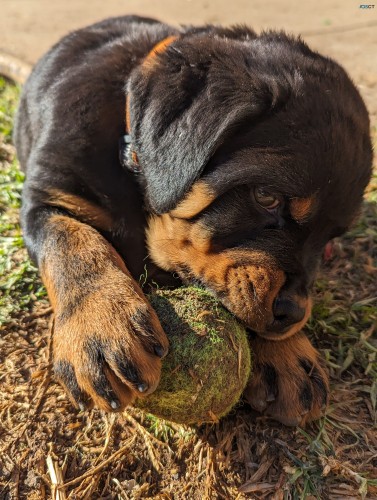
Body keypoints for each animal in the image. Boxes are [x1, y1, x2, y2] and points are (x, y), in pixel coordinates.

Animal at [13, 14, 370, 426]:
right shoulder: (47, 198)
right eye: (267, 197)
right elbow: (73, 245)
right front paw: (101, 325)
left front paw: (289, 355)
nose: (292, 314)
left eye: (330, 241)